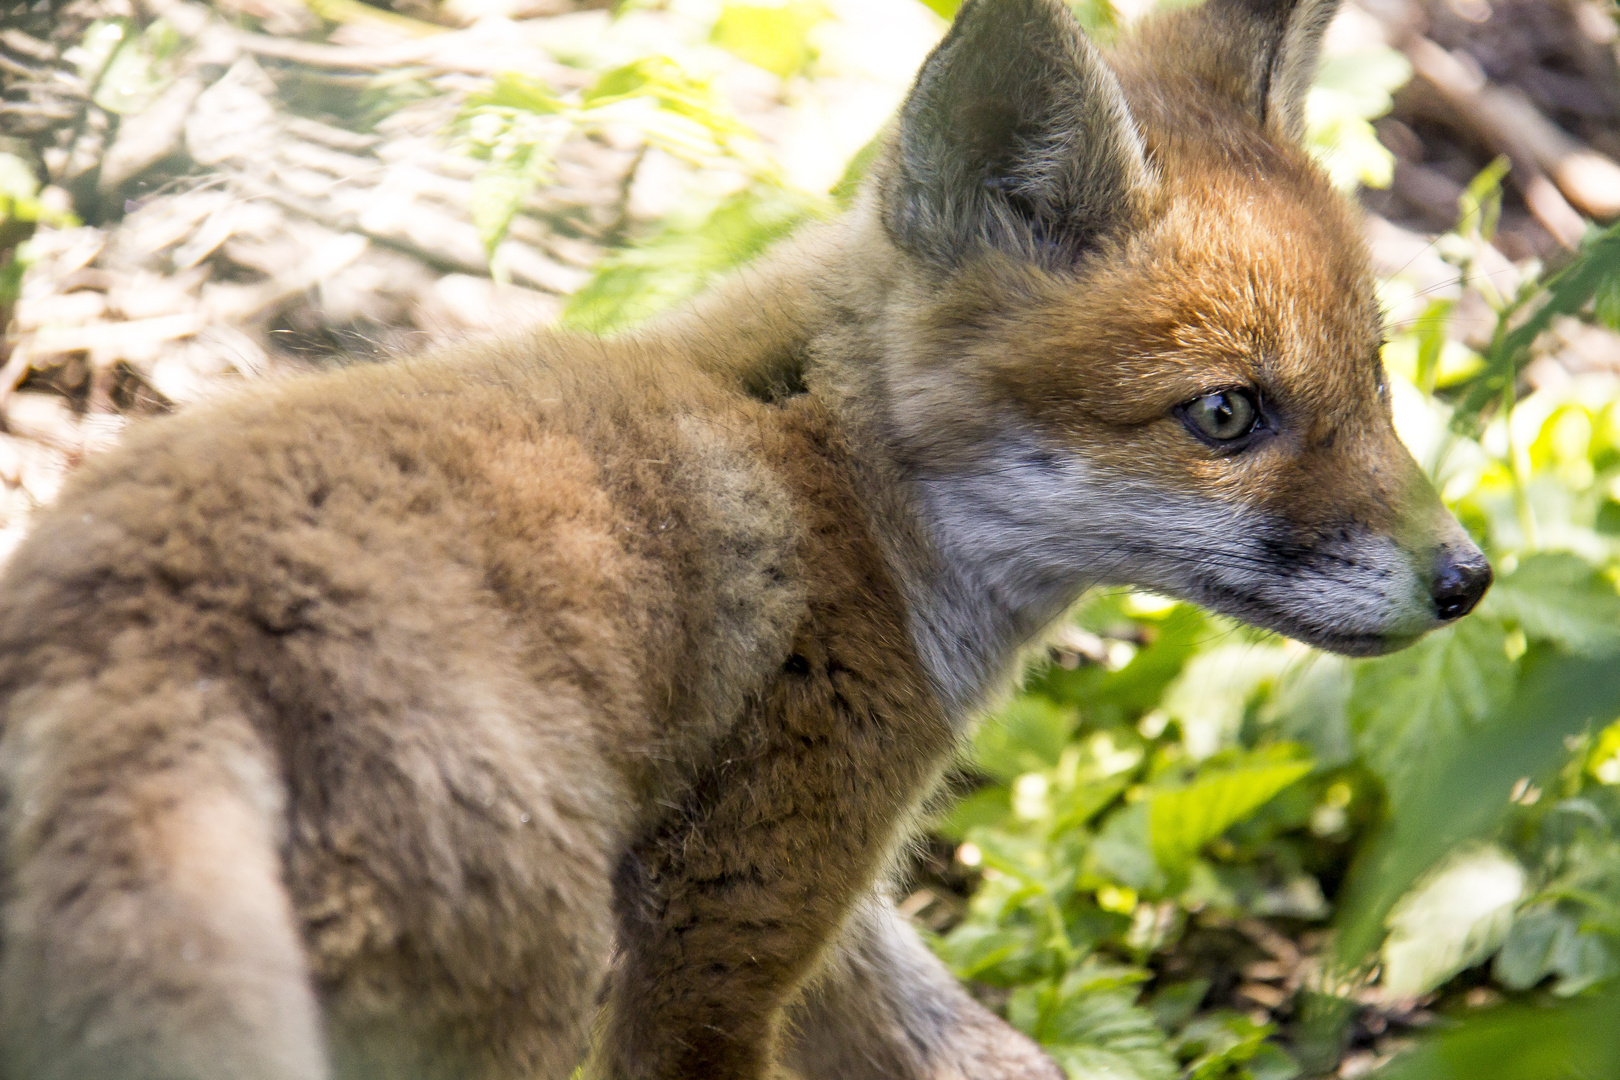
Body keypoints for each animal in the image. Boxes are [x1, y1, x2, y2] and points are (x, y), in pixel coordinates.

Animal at [0, 0, 1490, 1075]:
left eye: (1375, 379)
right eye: (1228, 414)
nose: (1468, 578)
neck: (844, 486)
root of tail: (152, 624)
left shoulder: (839, 923)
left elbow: (978, 1048)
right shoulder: (726, 924)